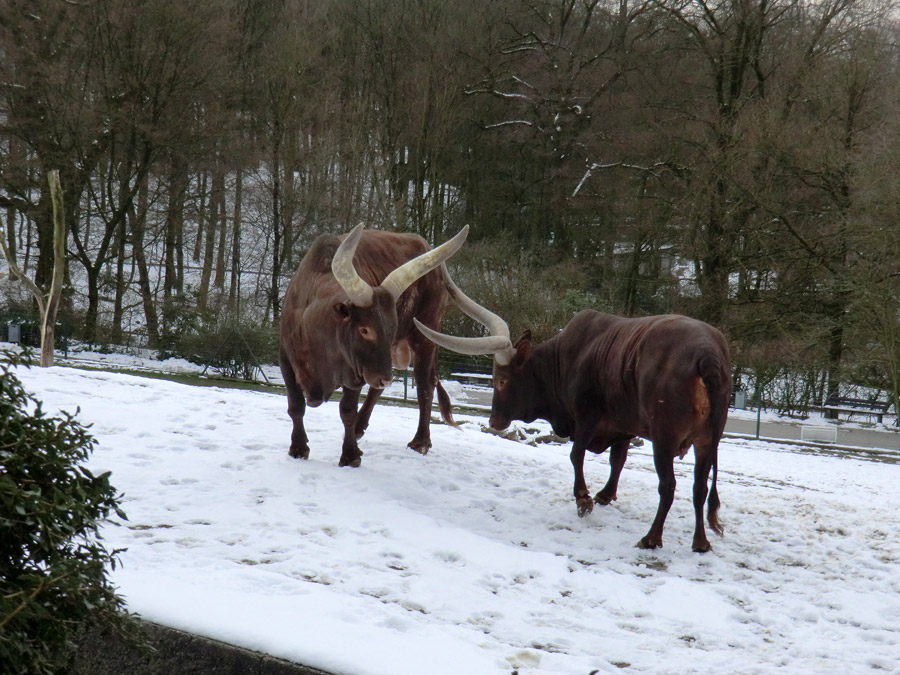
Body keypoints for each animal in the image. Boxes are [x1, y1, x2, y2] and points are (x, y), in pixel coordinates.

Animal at [280, 224, 464, 468]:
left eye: (392, 328)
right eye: (365, 329)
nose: (386, 378)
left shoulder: (355, 371)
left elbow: (347, 410)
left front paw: (350, 456)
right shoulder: (286, 359)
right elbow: (295, 406)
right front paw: (298, 448)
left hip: (424, 336)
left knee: (425, 385)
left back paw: (420, 441)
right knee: (380, 388)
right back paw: (360, 428)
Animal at [418, 280, 736, 556]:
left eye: (503, 380)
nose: (494, 422)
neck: (566, 357)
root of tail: (707, 354)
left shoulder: (586, 418)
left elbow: (576, 454)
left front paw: (583, 499)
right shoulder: (623, 425)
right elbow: (618, 459)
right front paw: (605, 495)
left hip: (664, 439)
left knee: (668, 486)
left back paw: (651, 538)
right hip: (708, 441)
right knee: (700, 486)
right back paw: (700, 542)